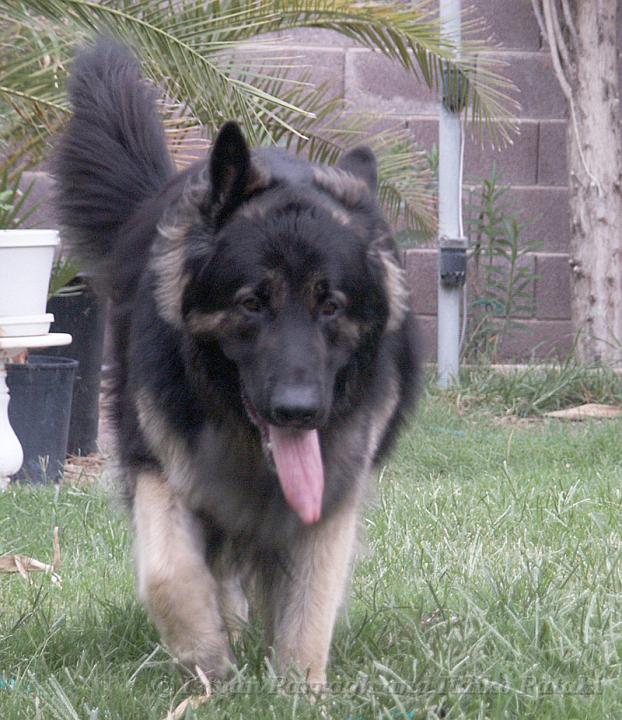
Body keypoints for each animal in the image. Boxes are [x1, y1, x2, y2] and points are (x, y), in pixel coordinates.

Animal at [56, 39, 422, 688]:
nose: (299, 412)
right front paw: (207, 662)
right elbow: (171, 575)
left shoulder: (332, 488)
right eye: (252, 303)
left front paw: (299, 689)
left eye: (331, 306)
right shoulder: (162, 462)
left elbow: (310, 601)